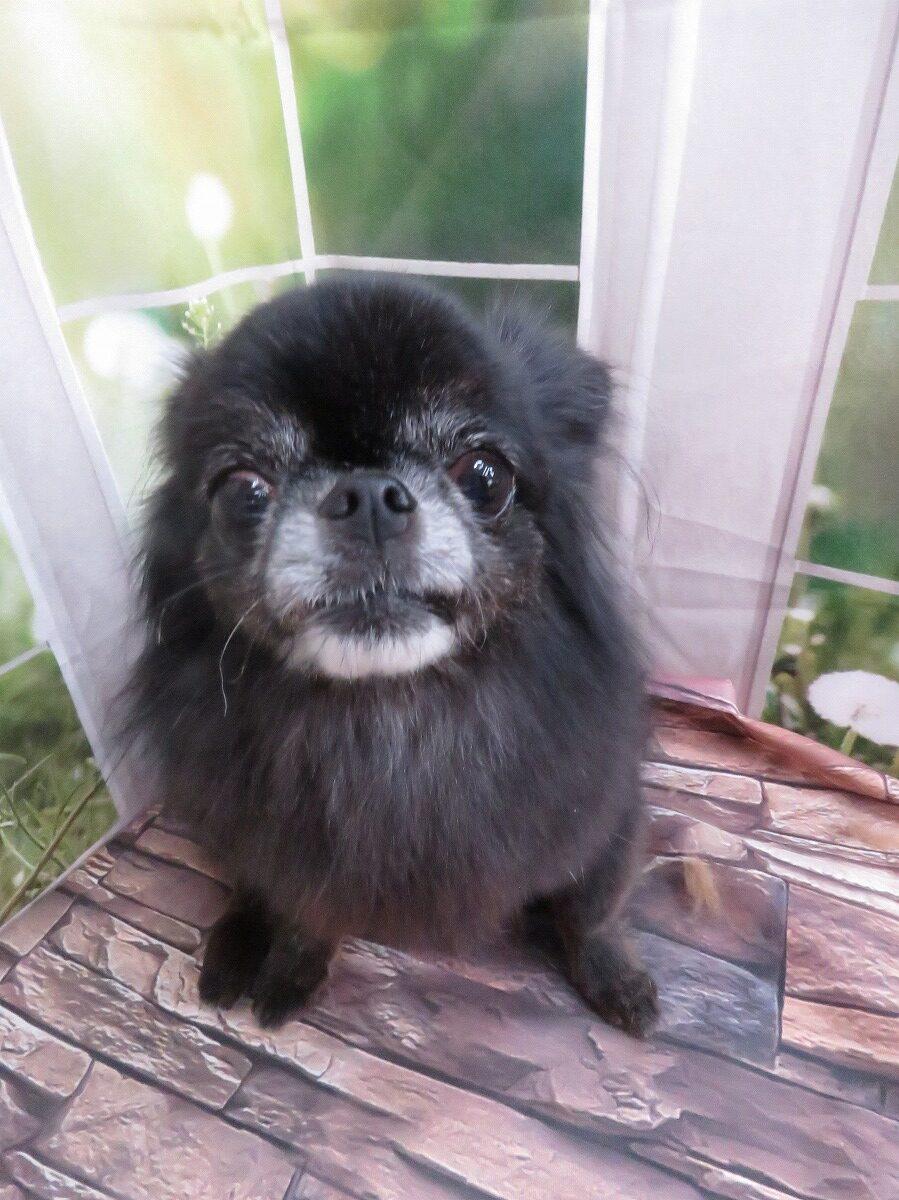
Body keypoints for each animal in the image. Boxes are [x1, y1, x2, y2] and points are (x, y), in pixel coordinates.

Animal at [125, 277, 658, 1034]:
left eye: (486, 475)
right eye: (244, 489)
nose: (368, 495)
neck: (390, 718)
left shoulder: (601, 815)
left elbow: (593, 911)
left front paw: (616, 979)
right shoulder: (300, 858)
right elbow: (302, 912)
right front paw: (290, 973)